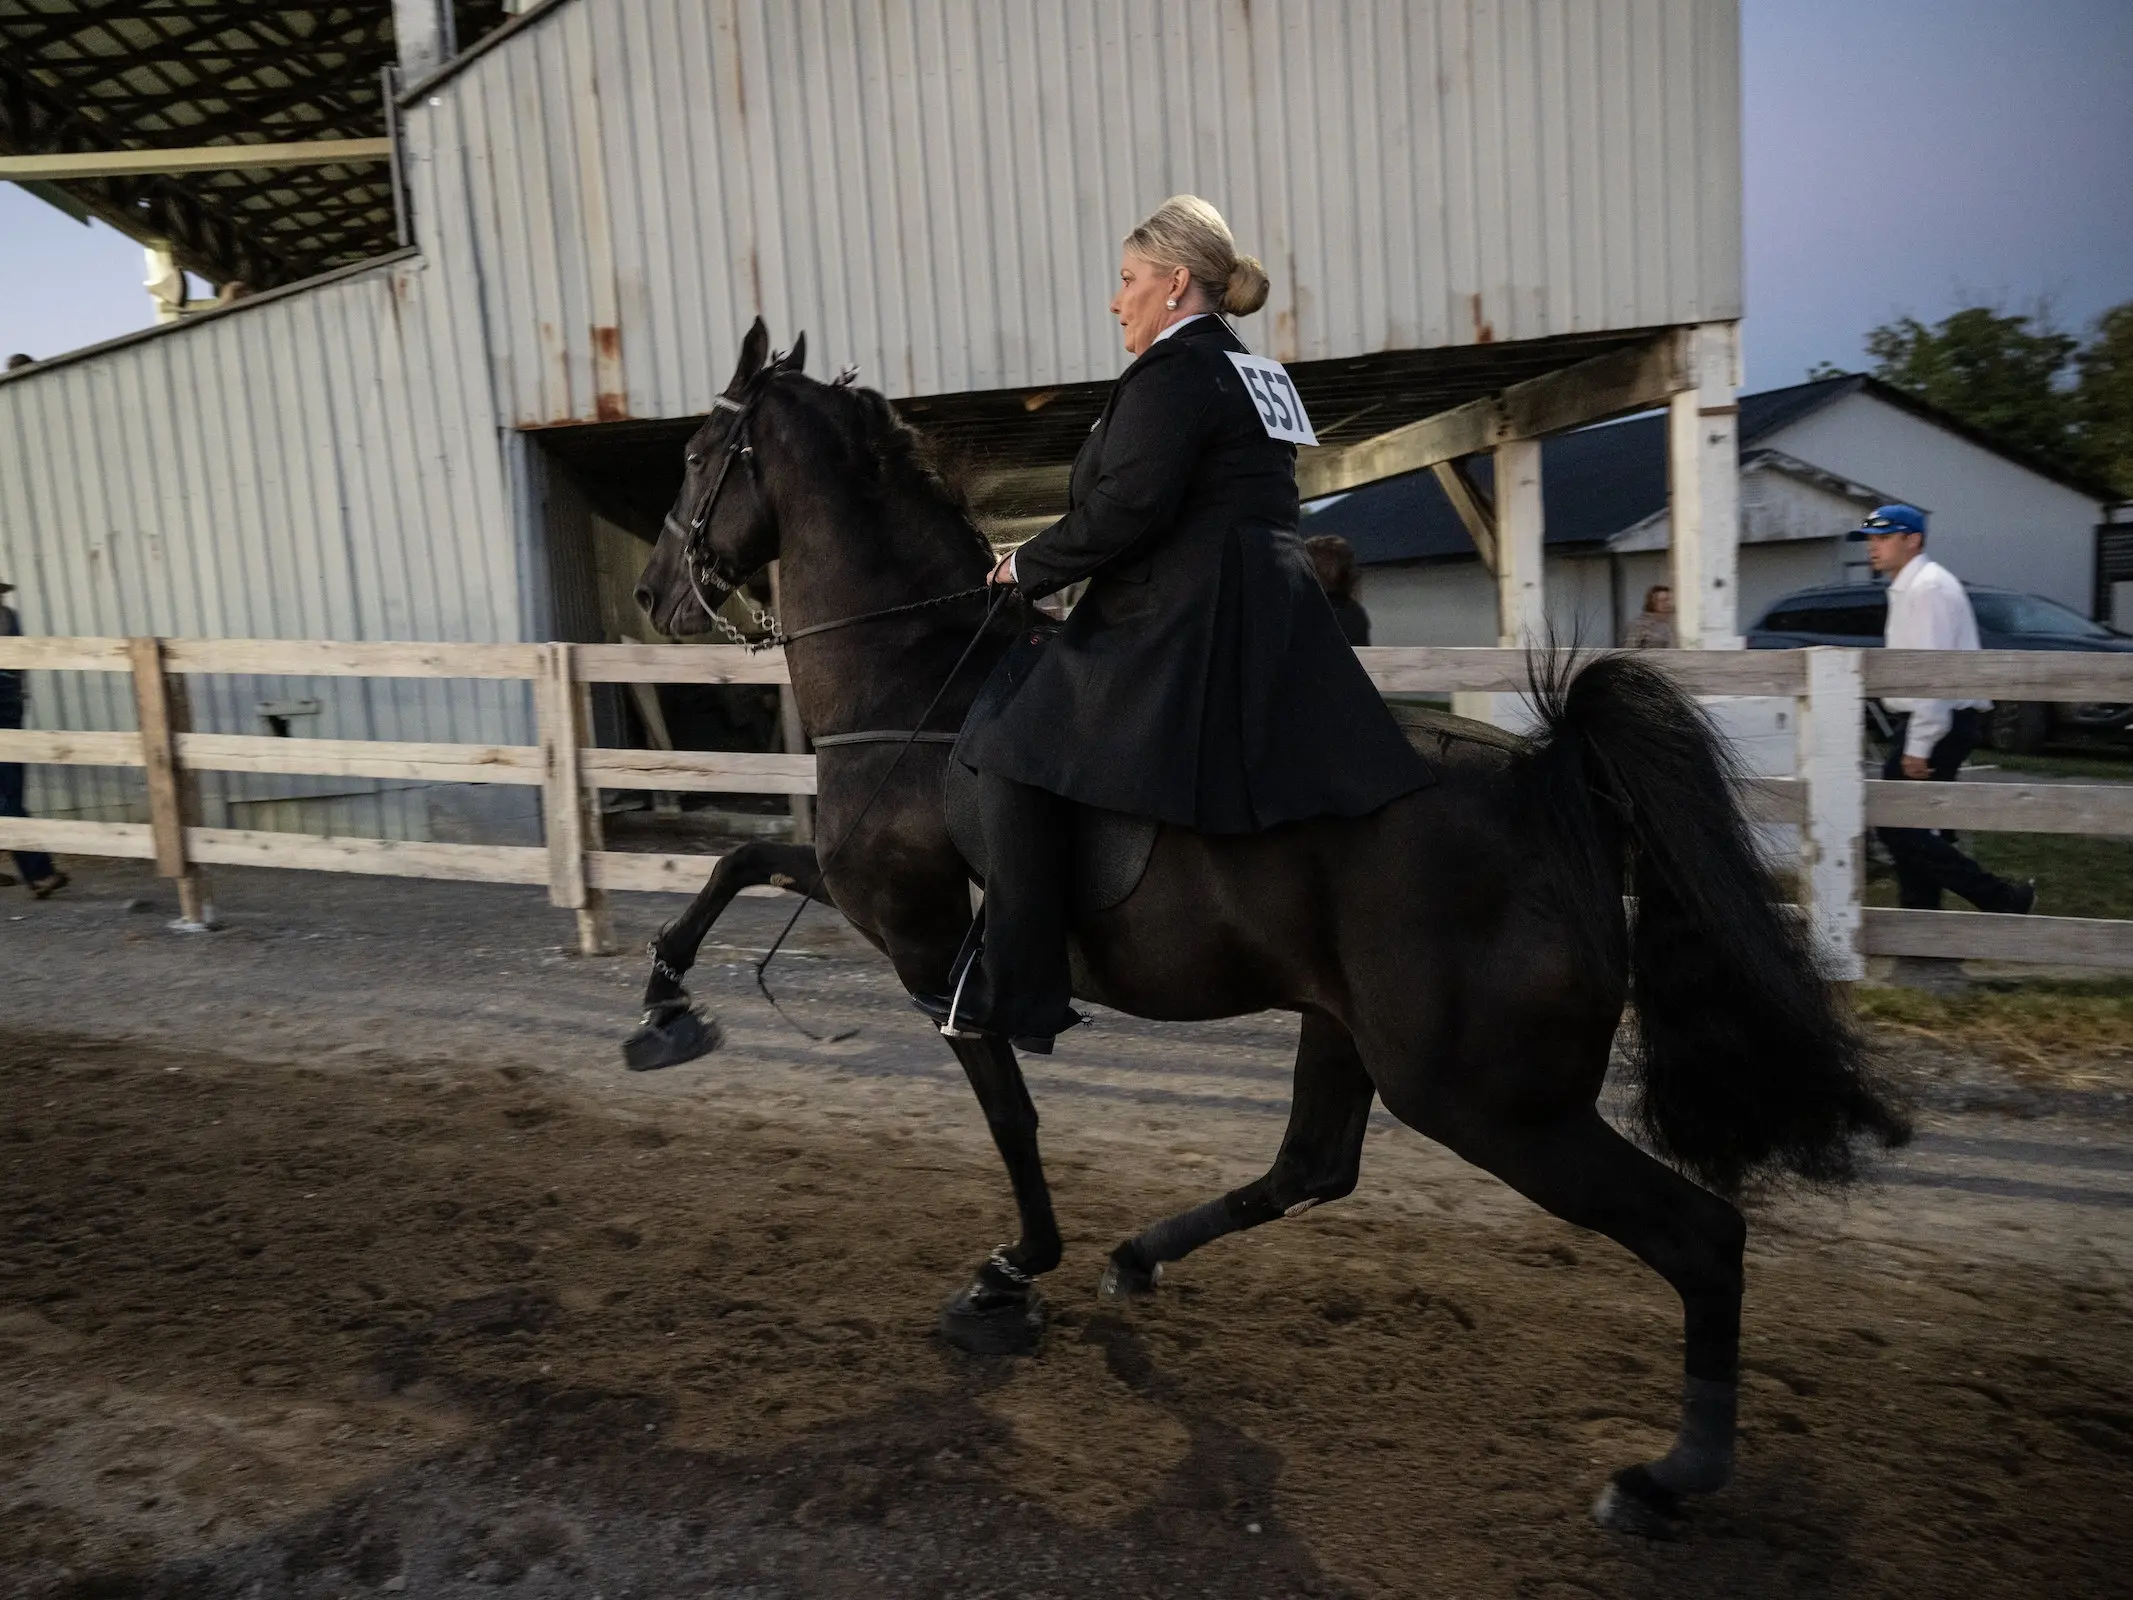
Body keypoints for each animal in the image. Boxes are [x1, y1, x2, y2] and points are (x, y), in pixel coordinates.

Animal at [622, 320, 1911, 1536]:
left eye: (692, 455)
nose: (651, 597)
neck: (911, 679)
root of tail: (1549, 785)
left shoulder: (930, 946)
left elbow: (1008, 1117)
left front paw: (1008, 1273)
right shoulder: (878, 908)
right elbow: (740, 858)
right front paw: (664, 1006)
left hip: (1490, 1101)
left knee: (1700, 1236)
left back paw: (1663, 1476)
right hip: (1353, 1031)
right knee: (1311, 1166)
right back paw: (1138, 1257)